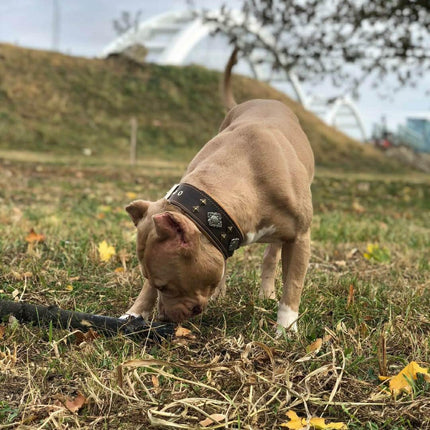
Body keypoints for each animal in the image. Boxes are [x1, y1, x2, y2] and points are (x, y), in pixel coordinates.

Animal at [122, 47, 314, 332]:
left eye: (165, 286)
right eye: (153, 283)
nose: (164, 318)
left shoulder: (300, 238)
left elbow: (293, 285)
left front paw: (286, 329)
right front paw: (134, 313)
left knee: (270, 257)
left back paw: (267, 295)